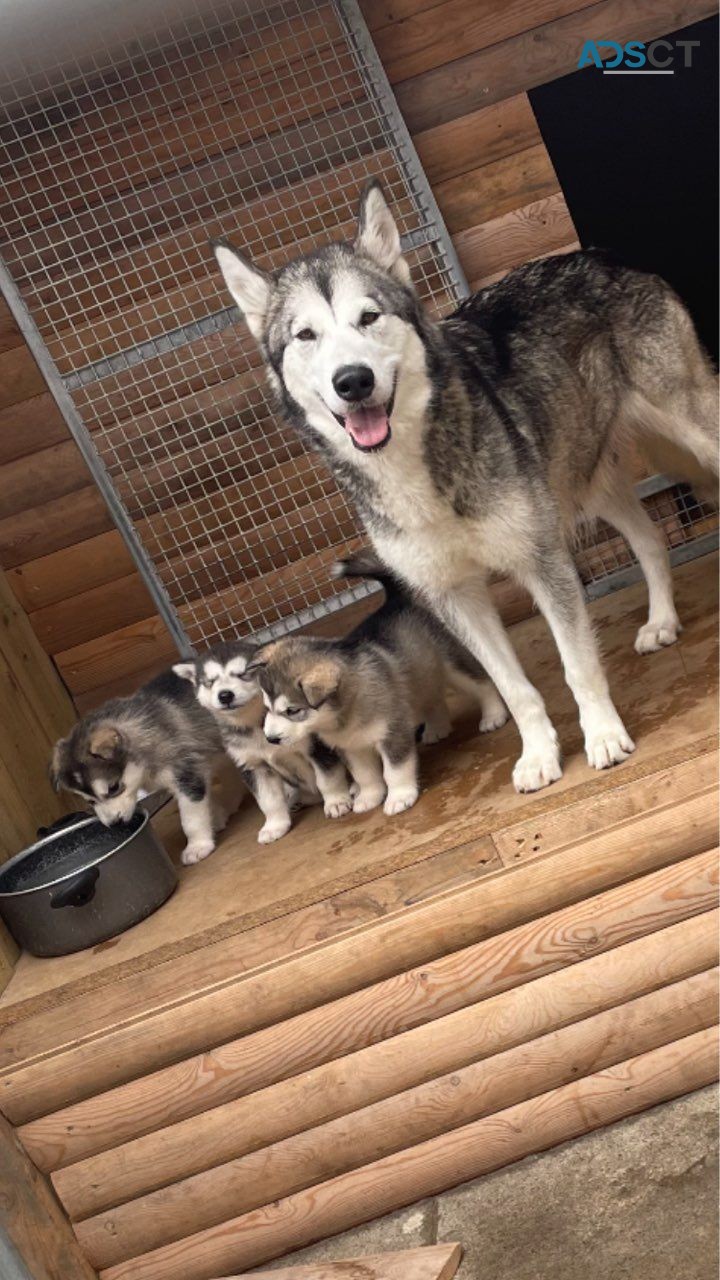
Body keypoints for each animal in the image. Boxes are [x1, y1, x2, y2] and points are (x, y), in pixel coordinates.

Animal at [49, 670, 225, 870]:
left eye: (114, 788)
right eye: (90, 802)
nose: (115, 824)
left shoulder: (187, 775)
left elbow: (191, 819)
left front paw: (197, 846)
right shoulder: (199, 770)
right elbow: (207, 799)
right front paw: (216, 819)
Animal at [174, 640, 353, 839]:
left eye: (242, 674)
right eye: (210, 682)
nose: (225, 695)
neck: (256, 724)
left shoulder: (315, 747)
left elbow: (327, 778)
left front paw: (336, 801)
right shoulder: (254, 765)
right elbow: (268, 800)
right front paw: (275, 826)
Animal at [249, 552, 507, 814]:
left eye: (292, 711)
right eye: (267, 708)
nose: (270, 739)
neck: (344, 715)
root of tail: (394, 601)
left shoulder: (392, 734)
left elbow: (394, 771)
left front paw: (399, 797)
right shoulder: (352, 747)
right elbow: (365, 776)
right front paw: (369, 797)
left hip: (450, 663)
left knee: (482, 683)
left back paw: (493, 715)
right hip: (417, 674)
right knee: (430, 697)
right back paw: (437, 728)